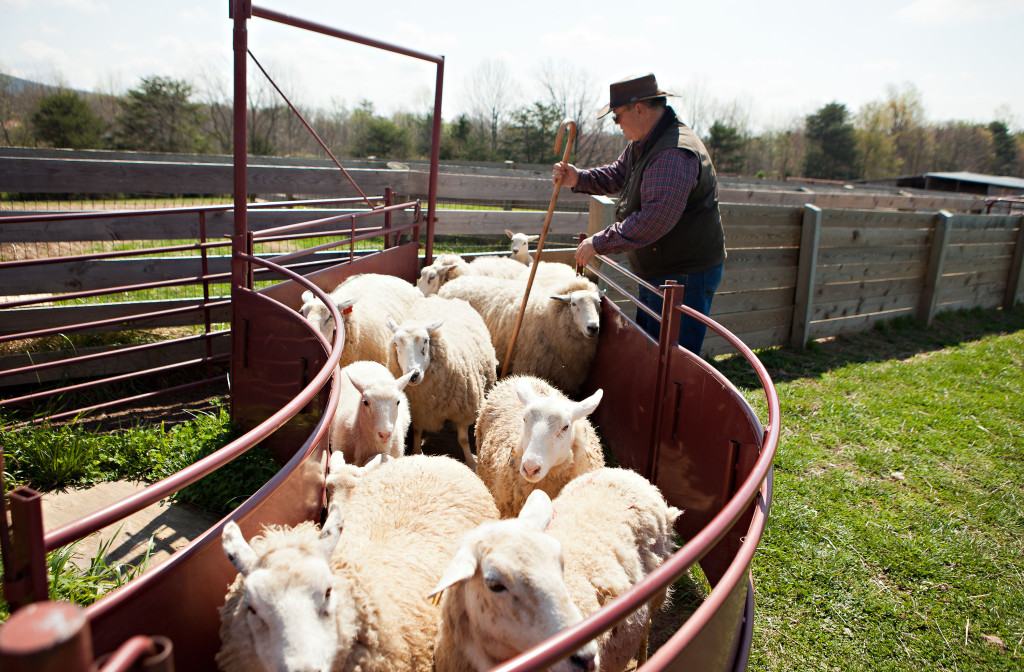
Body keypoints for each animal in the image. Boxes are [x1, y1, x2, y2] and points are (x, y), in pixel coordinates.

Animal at [385, 295, 497, 467]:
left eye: (426, 341)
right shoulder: (419, 409)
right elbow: (417, 430)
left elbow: (463, 439)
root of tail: (446, 299)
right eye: (396, 344)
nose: (413, 375)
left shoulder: (463, 411)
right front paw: (416, 451)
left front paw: (471, 462)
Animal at [430, 469, 679, 672]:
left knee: (647, 627)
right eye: (495, 585)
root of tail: (627, 472)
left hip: (657, 593)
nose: (587, 658)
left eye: (560, 564)